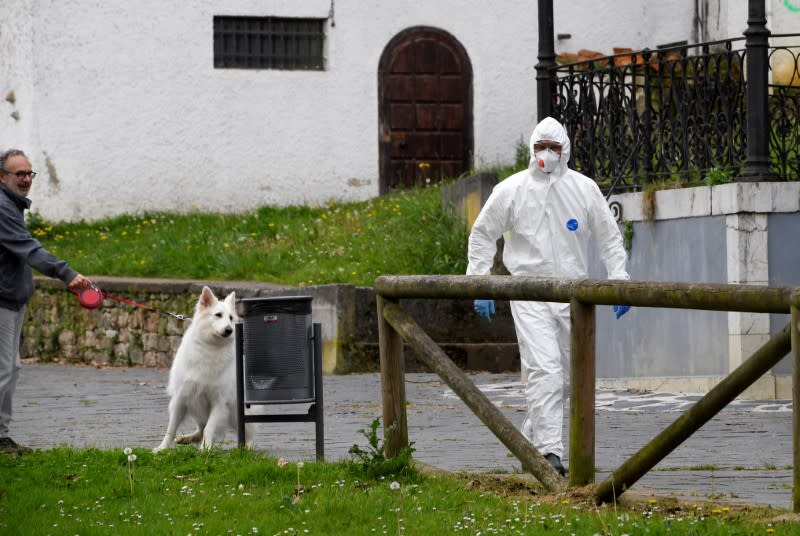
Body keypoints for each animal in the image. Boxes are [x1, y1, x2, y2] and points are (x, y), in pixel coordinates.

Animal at [154, 286, 252, 450]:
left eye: (231, 318)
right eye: (218, 315)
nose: (229, 330)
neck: (210, 348)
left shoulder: (219, 402)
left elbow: (209, 428)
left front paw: (205, 450)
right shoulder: (181, 397)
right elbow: (171, 427)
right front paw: (162, 448)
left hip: (238, 412)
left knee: (248, 432)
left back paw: (248, 448)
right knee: (199, 429)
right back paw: (187, 438)